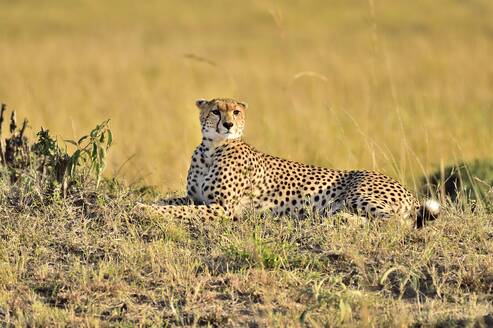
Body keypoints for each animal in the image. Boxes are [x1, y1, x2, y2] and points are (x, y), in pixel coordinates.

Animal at [136, 97, 440, 227]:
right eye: (215, 111)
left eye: (235, 111)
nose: (228, 124)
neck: (212, 148)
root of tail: (408, 191)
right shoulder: (196, 198)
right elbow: (171, 202)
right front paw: (142, 204)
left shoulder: (222, 208)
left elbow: (178, 212)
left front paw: (145, 211)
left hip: (359, 194)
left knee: (396, 223)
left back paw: (338, 219)